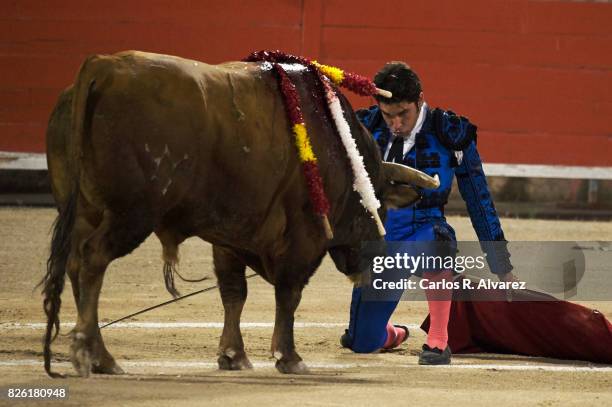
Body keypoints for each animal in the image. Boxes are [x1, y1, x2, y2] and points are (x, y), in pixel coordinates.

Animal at [41, 51, 436, 380]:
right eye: (379, 202)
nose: (371, 261)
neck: (340, 149)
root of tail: (103, 67)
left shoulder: (228, 235)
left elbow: (234, 293)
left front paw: (233, 355)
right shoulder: (303, 241)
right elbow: (288, 294)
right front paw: (289, 357)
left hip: (85, 212)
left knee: (75, 265)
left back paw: (98, 355)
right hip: (131, 214)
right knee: (93, 260)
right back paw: (94, 355)